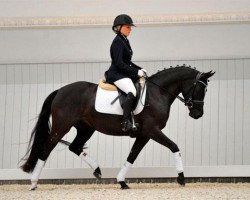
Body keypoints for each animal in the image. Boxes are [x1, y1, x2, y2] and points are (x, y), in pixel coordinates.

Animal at [20, 66, 215, 191]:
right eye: (201, 90)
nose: (198, 114)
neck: (158, 93)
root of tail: (60, 91)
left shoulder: (144, 134)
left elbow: (132, 156)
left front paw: (121, 181)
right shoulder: (153, 131)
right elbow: (174, 146)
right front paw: (181, 178)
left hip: (86, 128)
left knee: (74, 147)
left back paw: (97, 170)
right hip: (61, 127)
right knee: (46, 149)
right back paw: (34, 183)